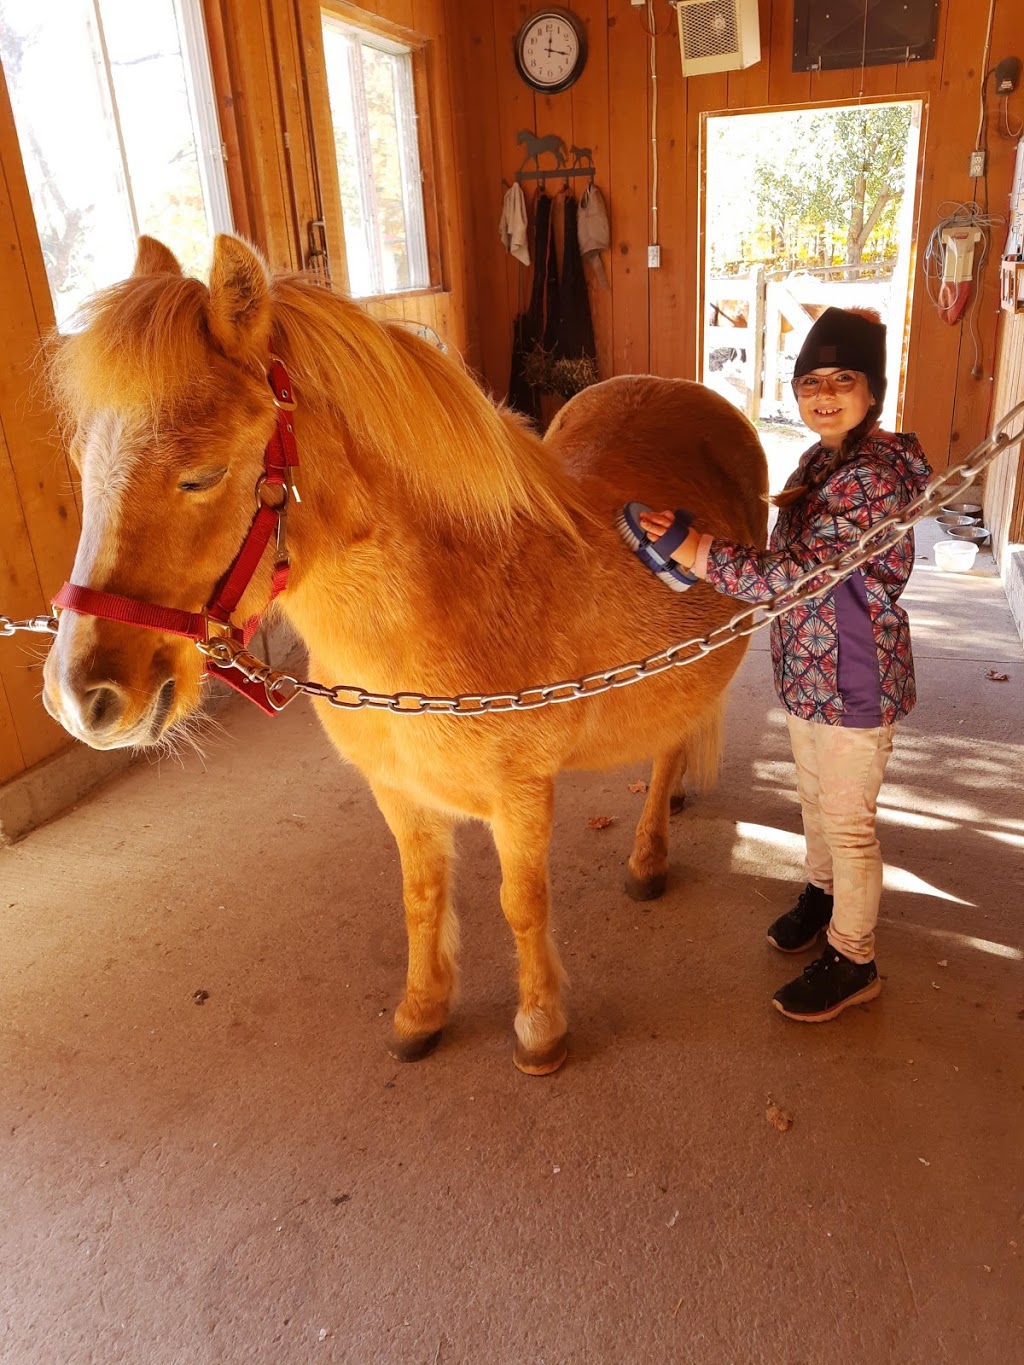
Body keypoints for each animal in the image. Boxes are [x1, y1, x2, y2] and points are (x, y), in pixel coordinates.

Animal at [44, 237, 764, 1075]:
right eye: (80, 462)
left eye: (201, 474)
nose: (80, 697)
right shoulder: (396, 790)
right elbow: (421, 900)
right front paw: (422, 1012)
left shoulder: (522, 797)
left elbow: (522, 905)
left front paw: (540, 1029)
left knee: (672, 743)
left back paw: (650, 854)